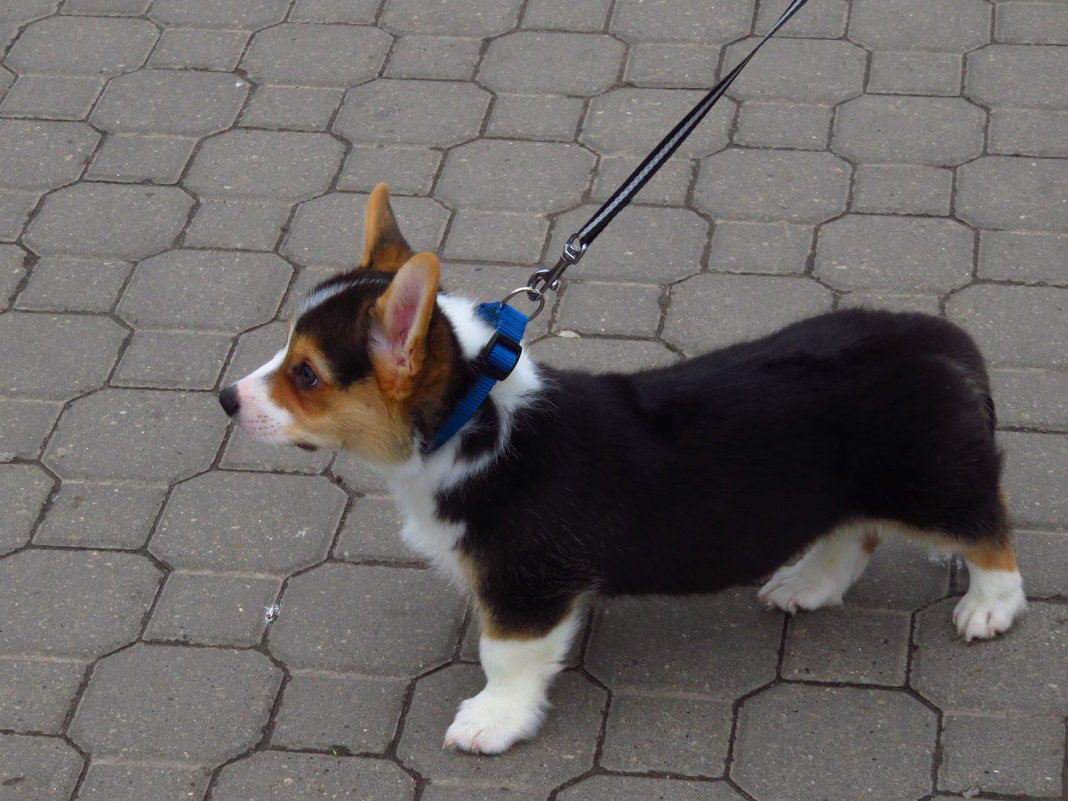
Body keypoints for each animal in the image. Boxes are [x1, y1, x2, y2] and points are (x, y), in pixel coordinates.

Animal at [218, 184, 1025, 756]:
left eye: (307, 375)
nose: (226, 398)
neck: (469, 420)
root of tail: (945, 340)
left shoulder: (528, 583)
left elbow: (504, 654)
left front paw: (492, 721)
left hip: (930, 481)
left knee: (989, 529)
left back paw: (989, 605)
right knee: (853, 533)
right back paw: (807, 584)